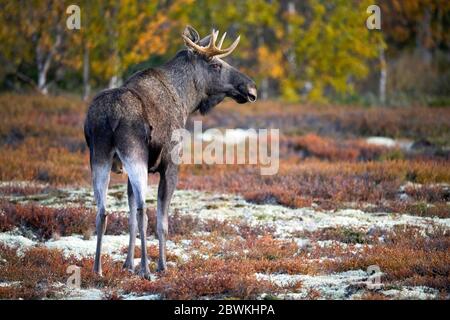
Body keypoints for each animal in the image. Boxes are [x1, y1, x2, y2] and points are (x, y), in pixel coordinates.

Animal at [84, 26, 256, 278]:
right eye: (216, 65)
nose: (251, 88)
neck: (186, 101)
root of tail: (111, 116)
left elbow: (129, 219)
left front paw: (128, 264)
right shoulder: (170, 165)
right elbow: (162, 222)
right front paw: (161, 266)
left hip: (99, 156)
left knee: (102, 211)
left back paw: (97, 269)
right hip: (135, 154)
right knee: (142, 210)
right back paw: (146, 270)